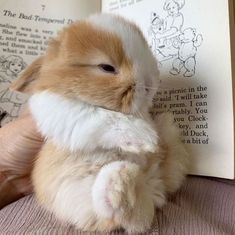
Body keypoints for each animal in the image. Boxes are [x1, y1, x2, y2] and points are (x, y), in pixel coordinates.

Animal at [11, 13, 188, 232]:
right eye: (106, 67)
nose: (150, 84)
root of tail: (150, 182)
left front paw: (152, 135)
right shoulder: (66, 113)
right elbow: (102, 117)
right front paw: (145, 138)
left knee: (134, 215)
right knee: (114, 214)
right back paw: (119, 177)